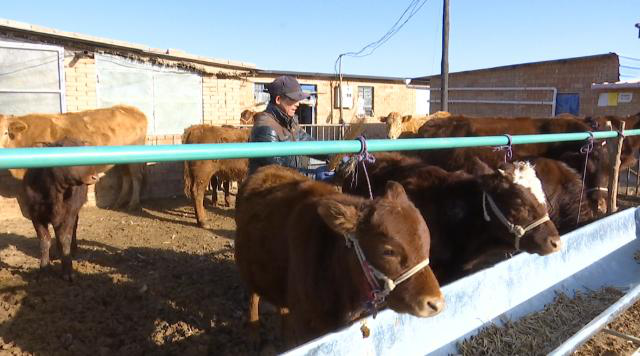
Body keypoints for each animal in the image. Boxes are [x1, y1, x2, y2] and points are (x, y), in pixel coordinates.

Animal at [0, 105, 146, 211]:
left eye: (5, 132)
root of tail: (131, 108)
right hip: (121, 159)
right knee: (126, 177)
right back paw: (119, 202)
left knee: (136, 177)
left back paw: (133, 204)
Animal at [21, 139, 100, 280]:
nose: (95, 177)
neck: (55, 193)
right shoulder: (36, 217)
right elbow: (45, 241)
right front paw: (44, 269)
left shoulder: (69, 214)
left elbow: (65, 239)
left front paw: (67, 271)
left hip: (74, 213)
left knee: (72, 230)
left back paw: (73, 250)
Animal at [235, 165, 444, 346]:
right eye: (388, 251)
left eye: (427, 244)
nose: (436, 303)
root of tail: (266, 168)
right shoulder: (304, 323)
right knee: (253, 296)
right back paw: (253, 333)